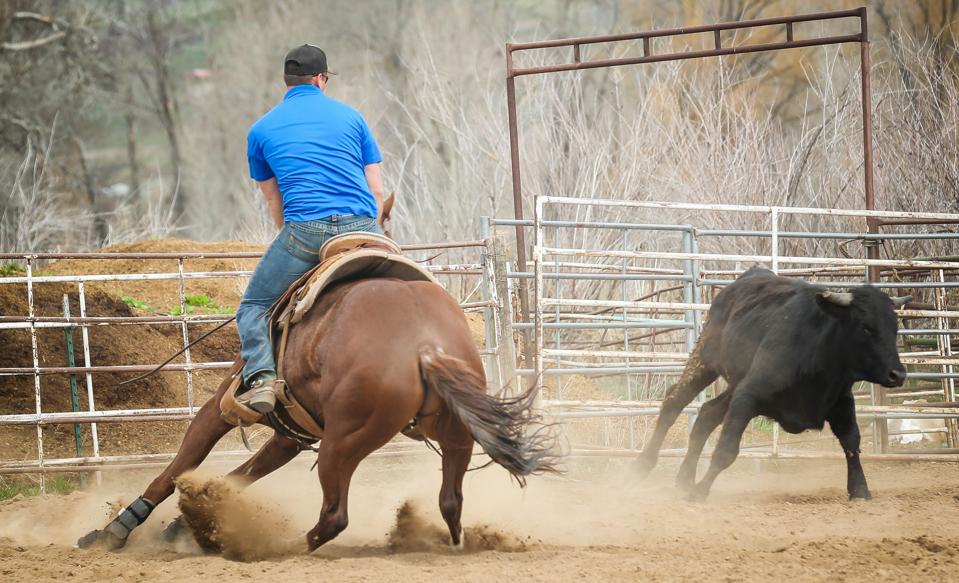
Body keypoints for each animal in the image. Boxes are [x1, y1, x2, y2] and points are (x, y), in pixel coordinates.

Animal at [78, 212, 556, 552]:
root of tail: (426, 345)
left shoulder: (223, 406)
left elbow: (177, 468)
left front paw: (115, 530)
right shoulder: (291, 434)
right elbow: (242, 476)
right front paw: (193, 519)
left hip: (343, 443)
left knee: (334, 516)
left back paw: (276, 547)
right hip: (455, 435)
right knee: (450, 502)